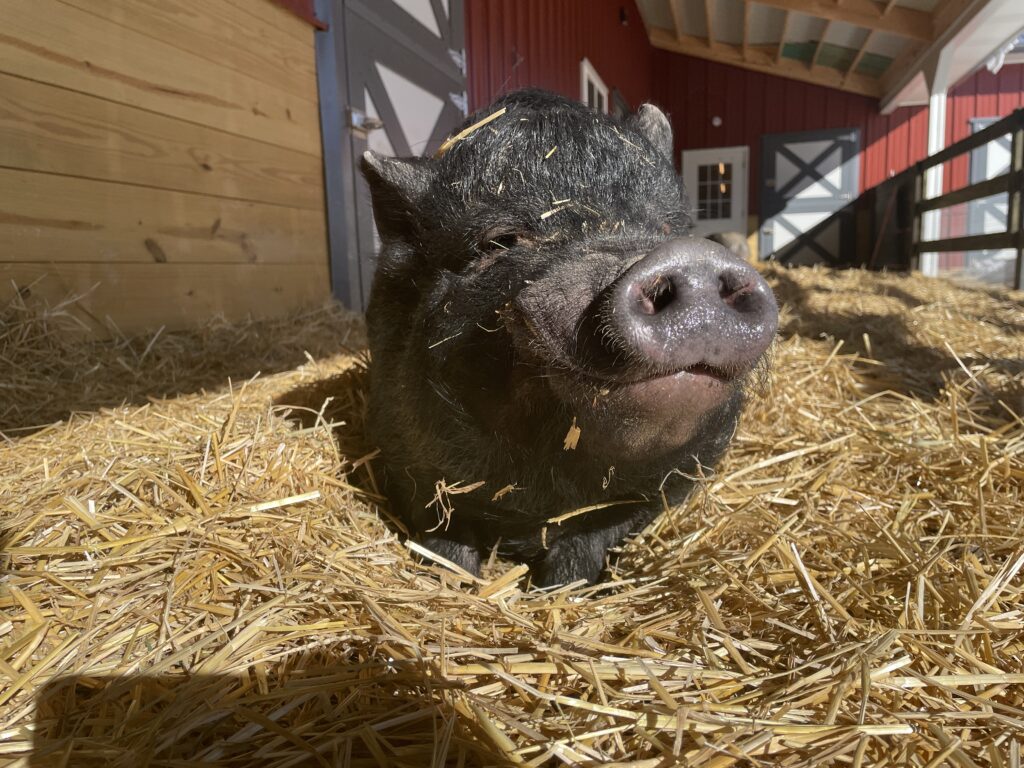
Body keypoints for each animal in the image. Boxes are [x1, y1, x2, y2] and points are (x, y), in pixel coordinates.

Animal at [360, 90, 777, 587]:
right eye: (501, 240)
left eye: (666, 229)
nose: (692, 257)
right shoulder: (404, 454)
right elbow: (443, 537)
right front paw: (461, 584)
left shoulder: (671, 486)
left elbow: (592, 539)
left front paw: (563, 588)